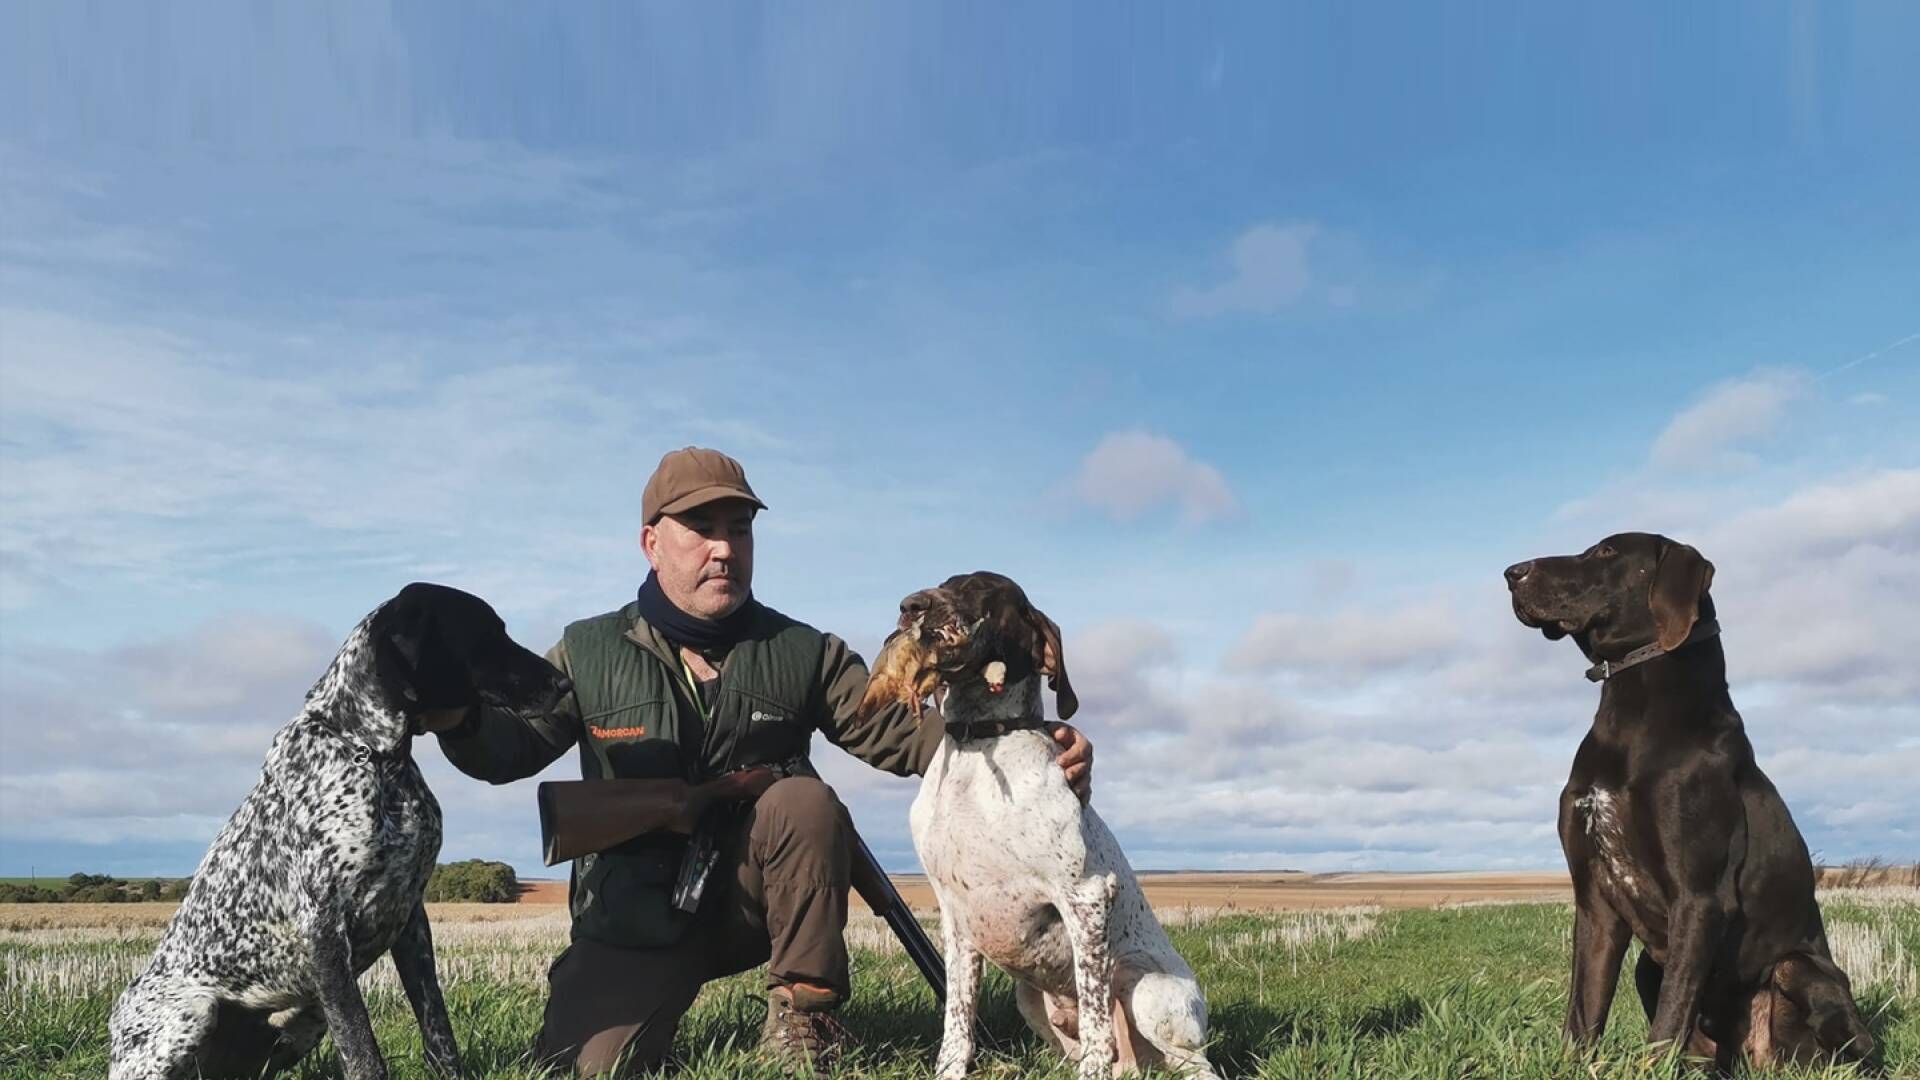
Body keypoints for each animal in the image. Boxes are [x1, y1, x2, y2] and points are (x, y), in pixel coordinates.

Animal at [109, 584, 568, 1068]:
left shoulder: (410, 917)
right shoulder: (325, 928)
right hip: (189, 1016)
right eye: (490, 632)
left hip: (304, 1022)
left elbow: (438, 1030)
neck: (377, 757)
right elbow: (362, 1049)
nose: (563, 684)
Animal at [864, 572, 1221, 1076]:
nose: (910, 606)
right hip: (1029, 997)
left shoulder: (1086, 896)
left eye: (982, 590)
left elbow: (1095, 1022)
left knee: (1191, 1062)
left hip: (1145, 986)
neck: (979, 747)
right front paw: (950, 1068)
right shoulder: (955, 916)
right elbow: (958, 1019)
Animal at [1497, 530, 1873, 1068]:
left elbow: (1667, 1021)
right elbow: (1584, 1011)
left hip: (1801, 969)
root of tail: (1757, 1058)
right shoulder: (1595, 904)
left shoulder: (1699, 900)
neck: (1630, 717)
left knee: (1858, 1047)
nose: (1512, 573)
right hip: (1650, 970)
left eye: (1607, 552)